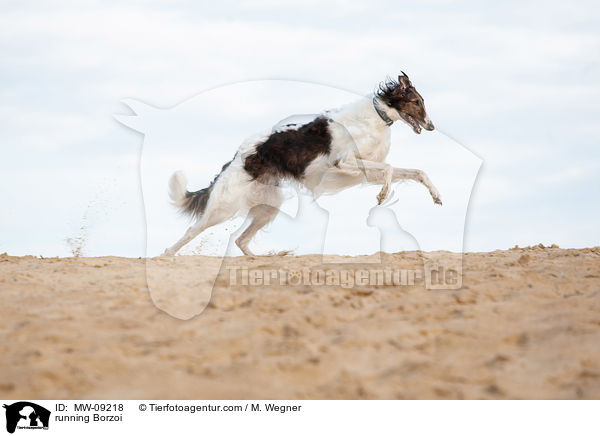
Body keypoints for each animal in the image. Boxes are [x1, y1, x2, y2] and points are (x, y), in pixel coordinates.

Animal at [164, 71, 440, 255]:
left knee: (241, 240)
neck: (375, 117)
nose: (431, 127)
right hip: (225, 207)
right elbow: (389, 169)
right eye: (416, 102)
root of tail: (236, 156)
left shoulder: (365, 172)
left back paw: (269, 258)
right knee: (192, 231)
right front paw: (382, 195)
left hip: (269, 206)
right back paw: (167, 255)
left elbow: (417, 172)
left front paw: (436, 195)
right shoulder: (344, 163)